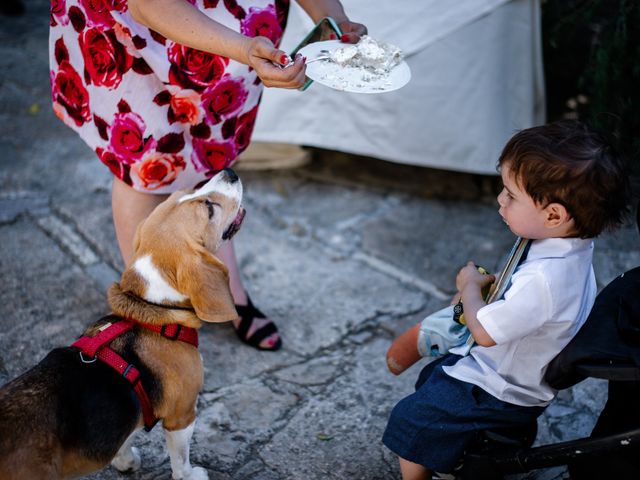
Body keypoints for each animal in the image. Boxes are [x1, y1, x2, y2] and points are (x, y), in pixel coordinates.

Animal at [0, 169, 245, 480]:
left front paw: (124, 461)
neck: (153, 310)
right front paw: (191, 475)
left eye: (185, 192)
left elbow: (125, 438)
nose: (230, 172)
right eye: (209, 208)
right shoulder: (182, 415)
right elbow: (180, 459)